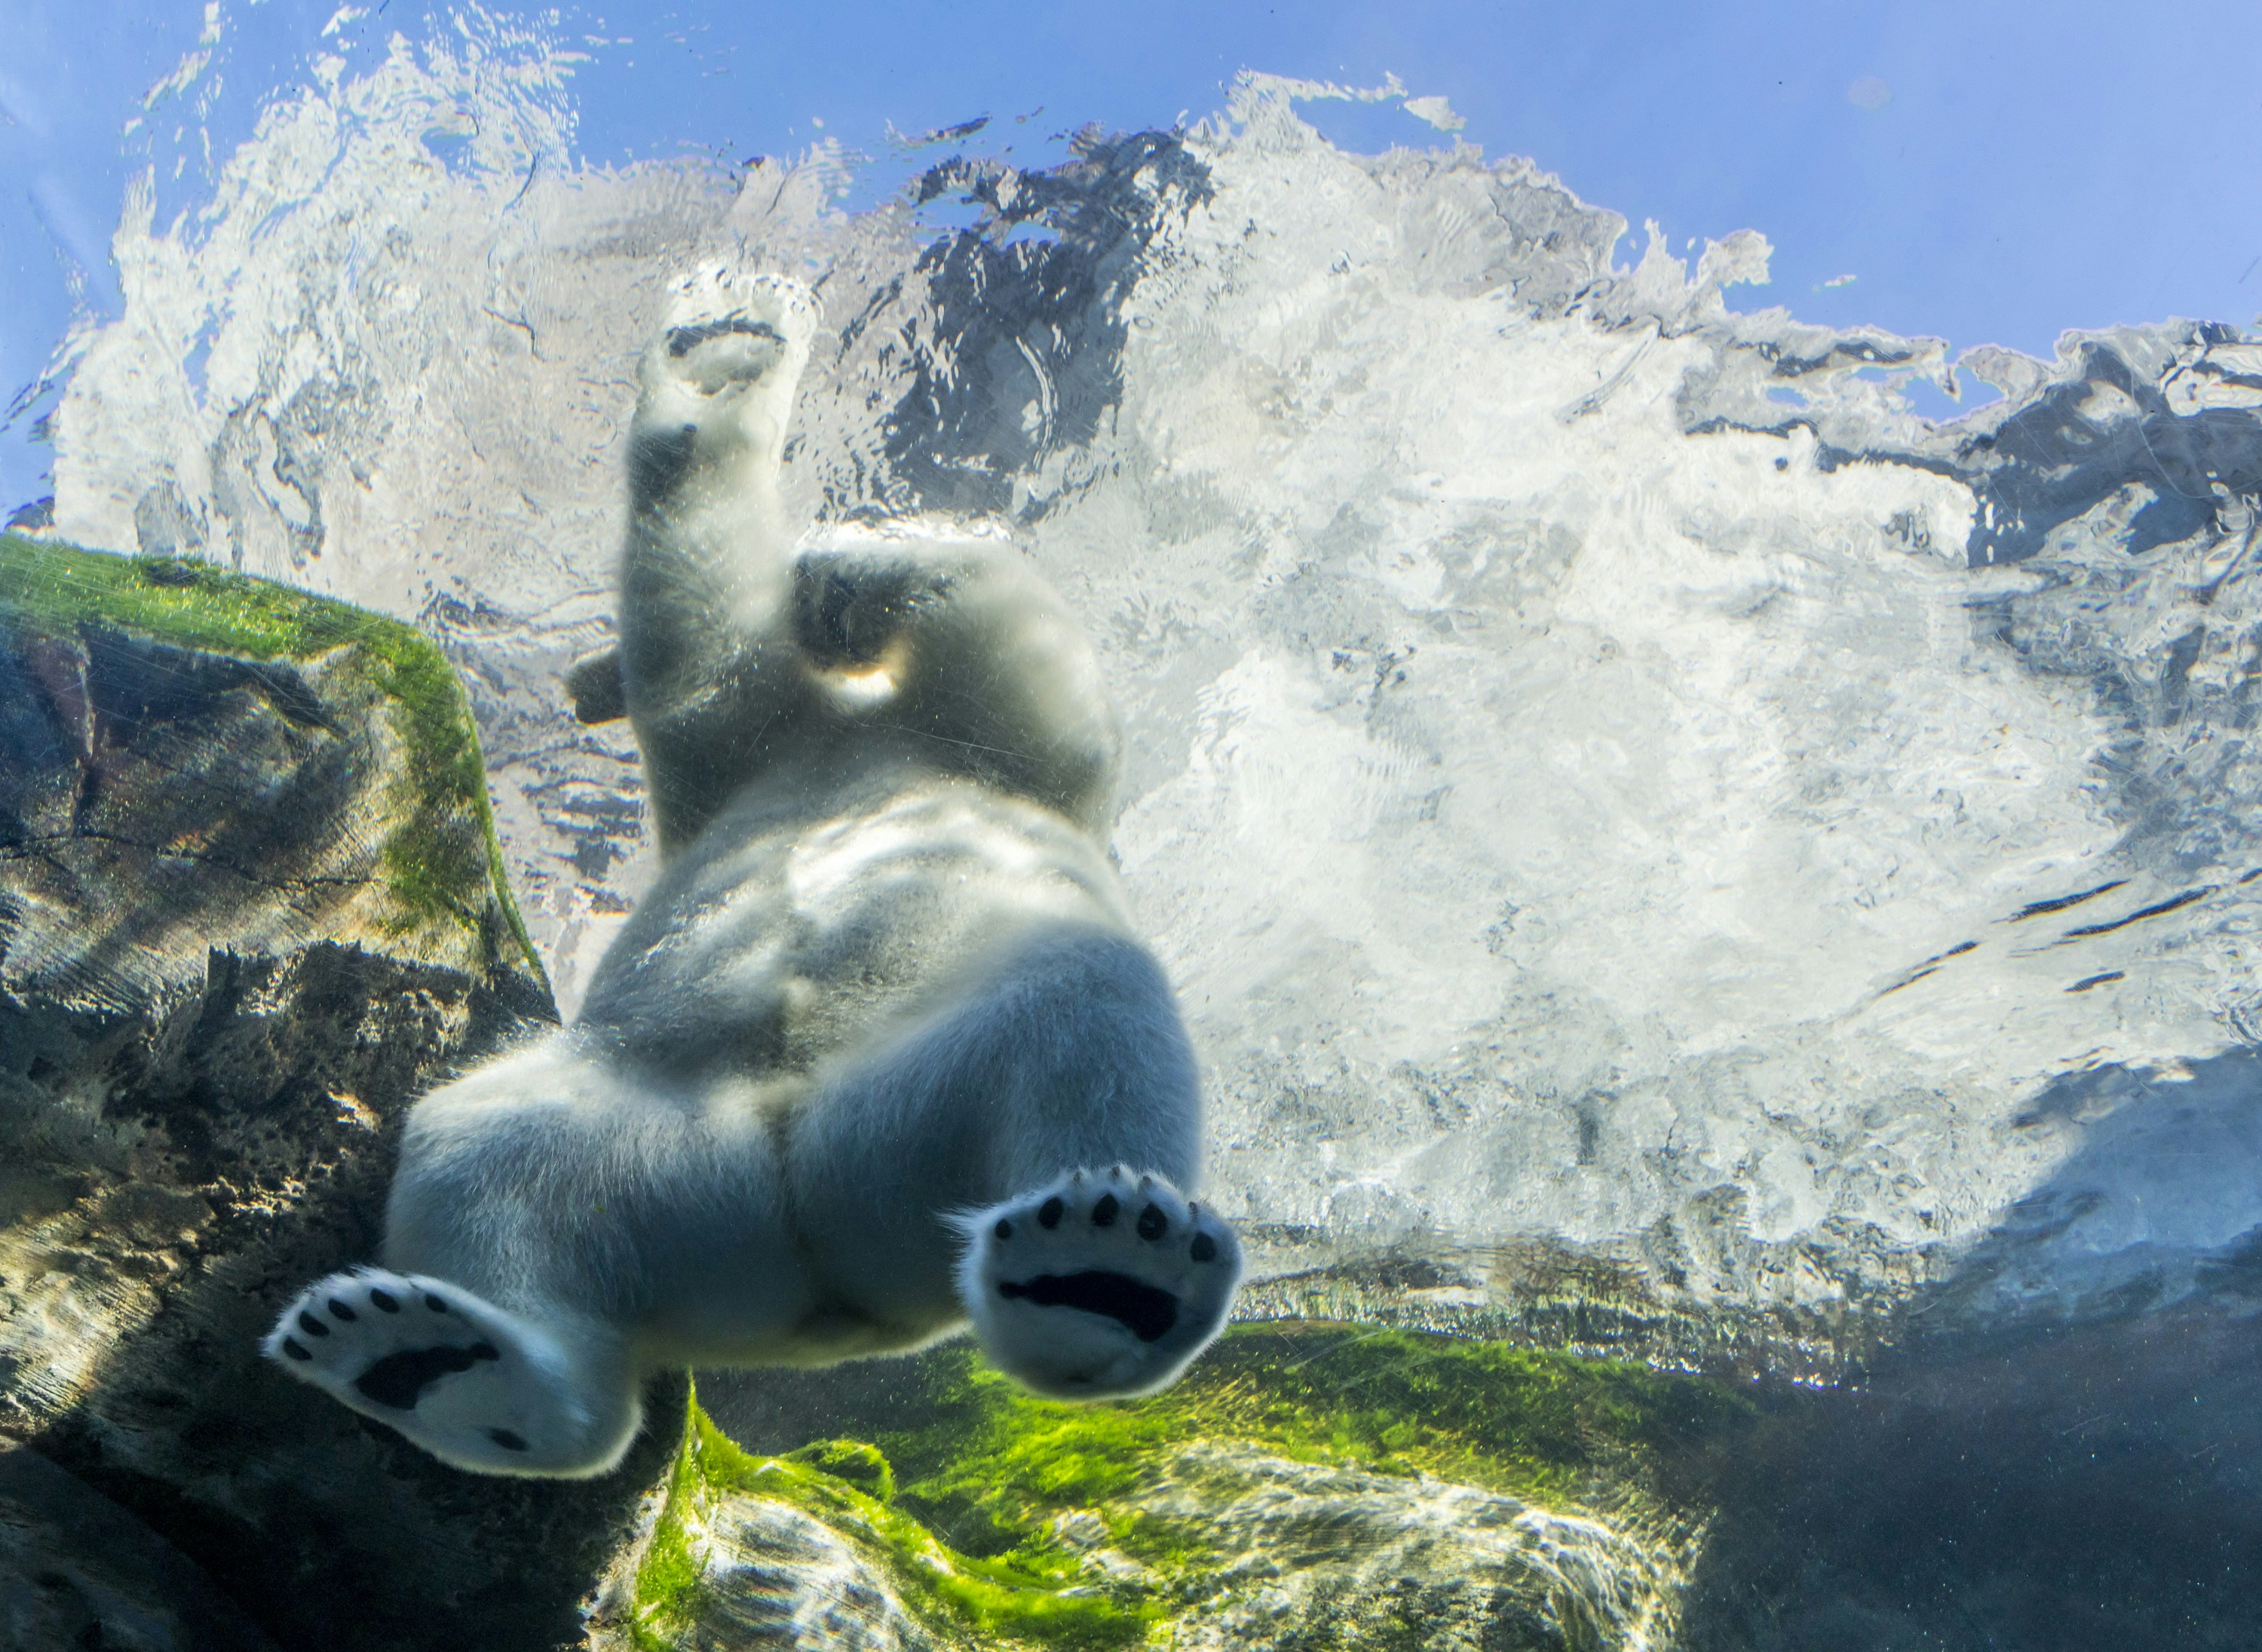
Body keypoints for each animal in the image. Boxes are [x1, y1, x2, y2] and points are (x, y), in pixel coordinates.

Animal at [261, 266, 1241, 1477]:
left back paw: (1106, 1270)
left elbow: (1012, 641)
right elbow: (698, 600)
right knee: (484, 1149)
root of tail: (809, 1296)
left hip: (910, 1099)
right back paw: (437, 1359)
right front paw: (721, 365)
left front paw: (843, 559)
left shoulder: (994, 745)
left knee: (1081, 1001)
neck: (847, 729)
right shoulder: (750, 737)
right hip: (659, 1139)